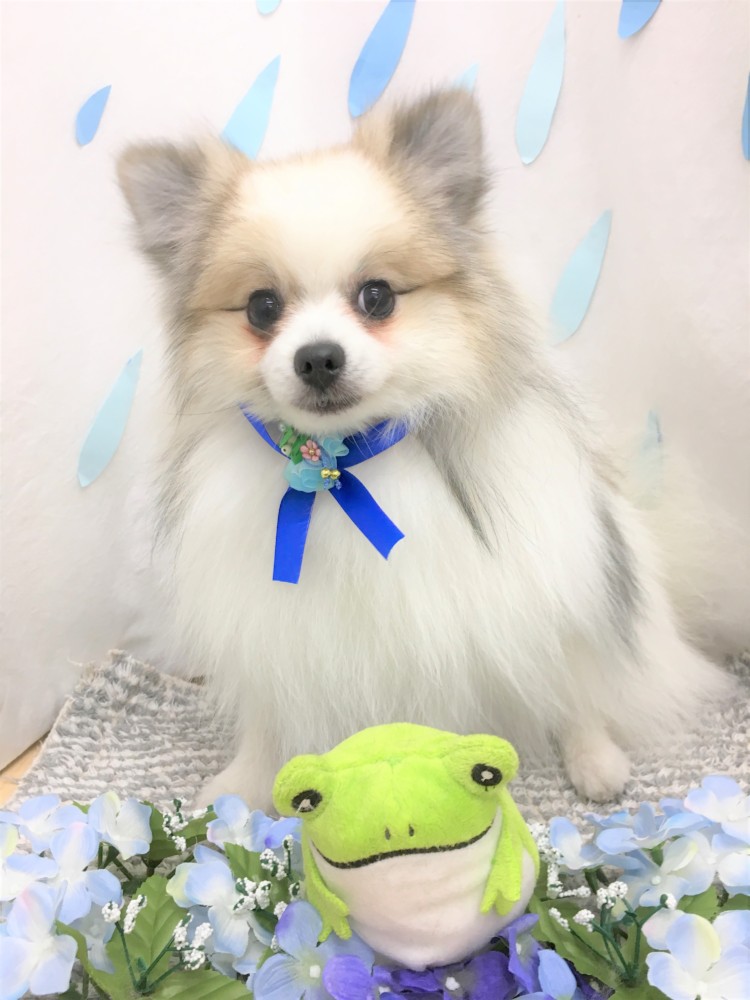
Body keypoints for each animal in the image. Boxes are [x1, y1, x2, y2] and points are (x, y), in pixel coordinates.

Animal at [117, 89, 730, 810]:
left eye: (377, 296)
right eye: (262, 308)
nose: (317, 357)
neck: (344, 467)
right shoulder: (276, 631)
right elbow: (269, 720)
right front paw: (244, 783)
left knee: (575, 686)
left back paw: (595, 758)